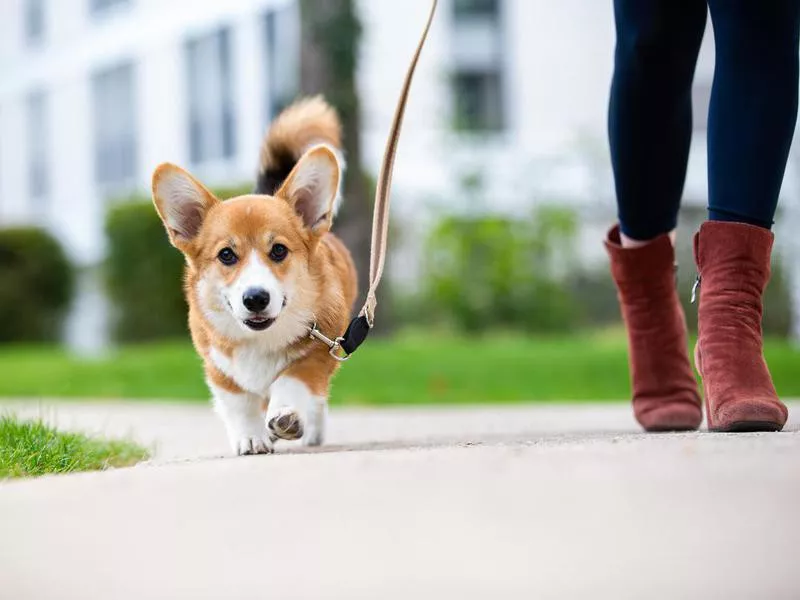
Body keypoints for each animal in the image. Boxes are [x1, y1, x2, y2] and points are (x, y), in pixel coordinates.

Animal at [152, 98, 356, 454]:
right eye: (226, 255)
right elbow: (240, 404)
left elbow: (293, 380)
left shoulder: (321, 350)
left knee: (315, 401)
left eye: (278, 250)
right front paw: (251, 437)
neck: (259, 340)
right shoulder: (218, 367)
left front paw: (286, 415)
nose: (256, 298)